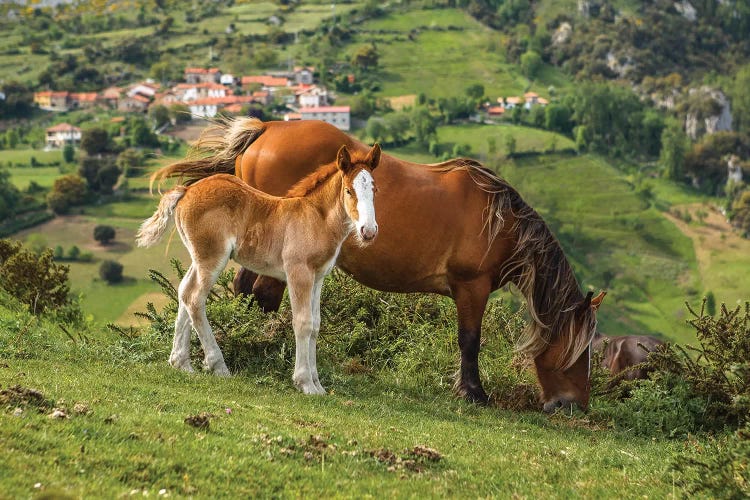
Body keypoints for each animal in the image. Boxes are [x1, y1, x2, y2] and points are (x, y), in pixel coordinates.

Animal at [140, 143, 384, 392]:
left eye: (374, 190)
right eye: (348, 191)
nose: (368, 231)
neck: (316, 219)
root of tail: (187, 191)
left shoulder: (317, 278)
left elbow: (315, 325)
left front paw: (319, 386)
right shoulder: (298, 273)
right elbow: (303, 323)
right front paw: (305, 383)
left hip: (198, 259)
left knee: (183, 291)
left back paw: (181, 363)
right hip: (212, 258)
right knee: (194, 298)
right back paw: (218, 366)